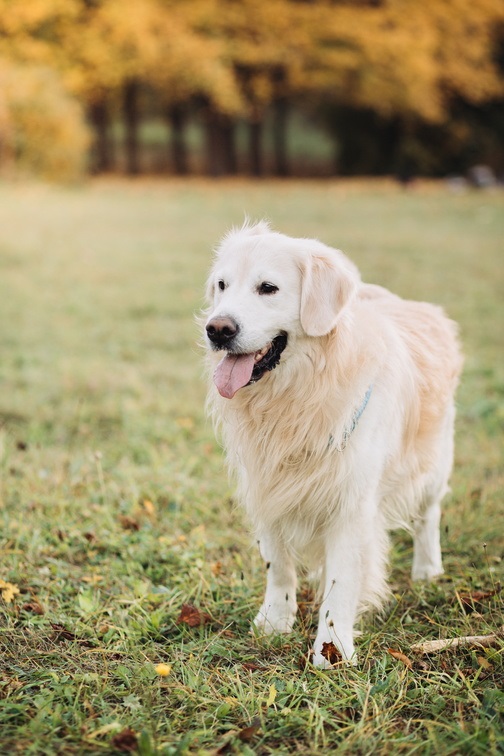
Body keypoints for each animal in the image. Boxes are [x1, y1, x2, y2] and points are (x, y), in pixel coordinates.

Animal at [203, 220, 462, 668]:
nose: (217, 329)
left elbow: (343, 581)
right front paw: (274, 621)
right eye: (222, 284)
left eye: (268, 288)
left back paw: (427, 569)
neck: (297, 395)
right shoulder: (266, 484)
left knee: (427, 515)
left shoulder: (352, 503)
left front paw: (333, 649)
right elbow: (277, 563)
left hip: (433, 462)